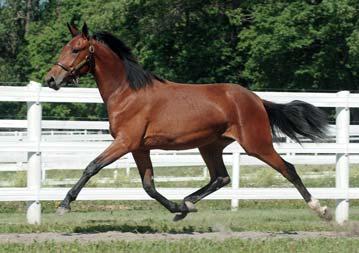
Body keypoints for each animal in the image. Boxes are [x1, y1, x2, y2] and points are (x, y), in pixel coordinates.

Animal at [46, 23, 334, 221]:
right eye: (64, 48)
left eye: (75, 49)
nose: (51, 79)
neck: (127, 93)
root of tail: (256, 100)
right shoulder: (140, 148)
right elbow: (149, 186)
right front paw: (176, 208)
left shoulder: (125, 142)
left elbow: (91, 167)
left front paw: (64, 205)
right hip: (210, 146)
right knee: (221, 178)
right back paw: (187, 204)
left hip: (257, 145)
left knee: (288, 168)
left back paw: (322, 209)